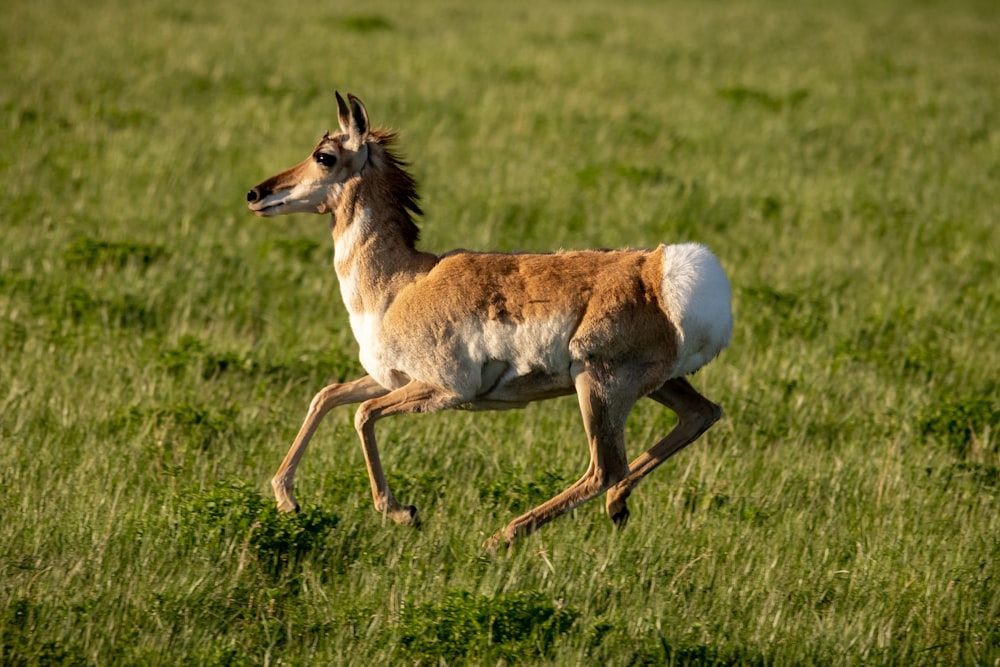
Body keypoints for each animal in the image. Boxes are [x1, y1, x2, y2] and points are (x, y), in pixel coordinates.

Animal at [248, 92, 736, 548]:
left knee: (604, 468)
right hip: (656, 385)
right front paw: (286, 499)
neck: (402, 283)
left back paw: (501, 537)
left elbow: (362, 415)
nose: (255, 194)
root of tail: (658, 271)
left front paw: (402, 512)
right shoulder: (392, 379)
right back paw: (616, 506)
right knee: (699, 414)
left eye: (324, 156)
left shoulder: (442, 389)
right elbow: (327, 396)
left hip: (598, 387)